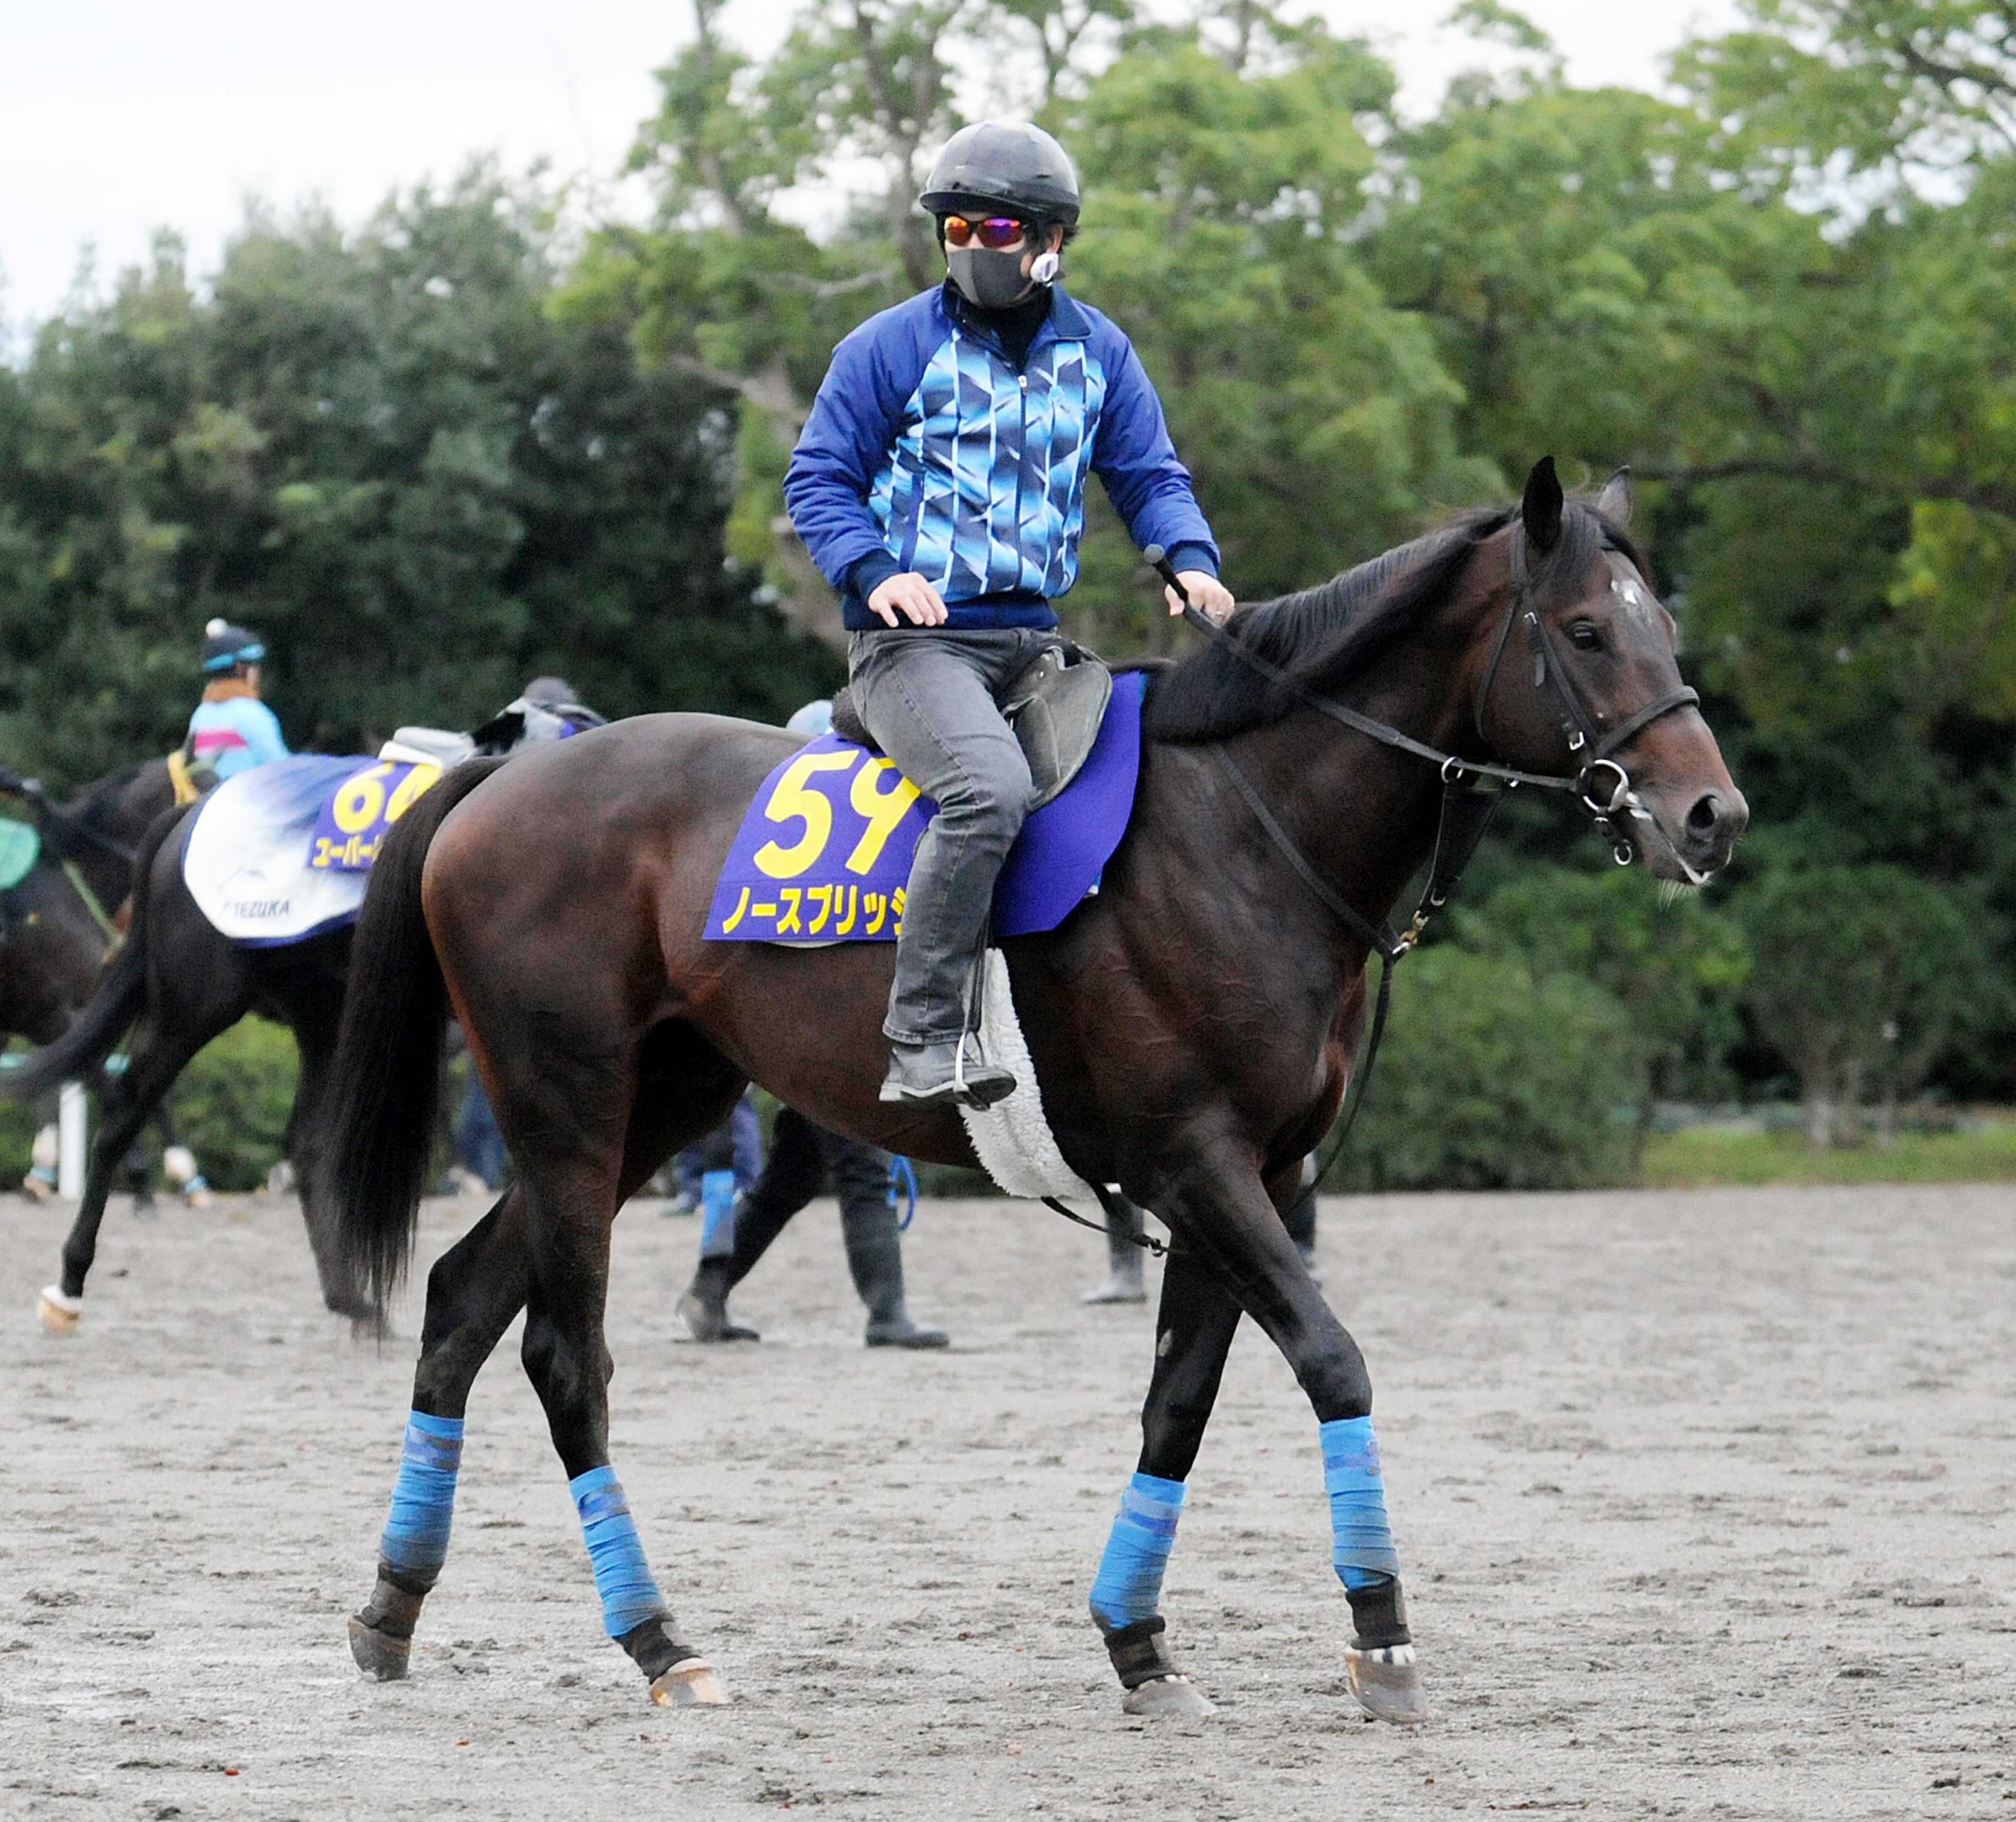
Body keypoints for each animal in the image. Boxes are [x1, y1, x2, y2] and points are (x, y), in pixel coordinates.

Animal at [323, 464, 1742, 1717]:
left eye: (1664, 627)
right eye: (1583, 630)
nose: (1711, 814)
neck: (1245, 830)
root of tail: (503, 778)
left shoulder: (1254, 1175)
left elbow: (1180, 1399)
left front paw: (1140, 1638)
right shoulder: (1197, 1164)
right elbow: (1332, 1361)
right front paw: (1380, 1632)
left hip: (650, 1109)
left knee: (461, 1302)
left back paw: (393, 1606)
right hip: (570, 1110)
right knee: (565, 1354)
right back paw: (659, 1639)